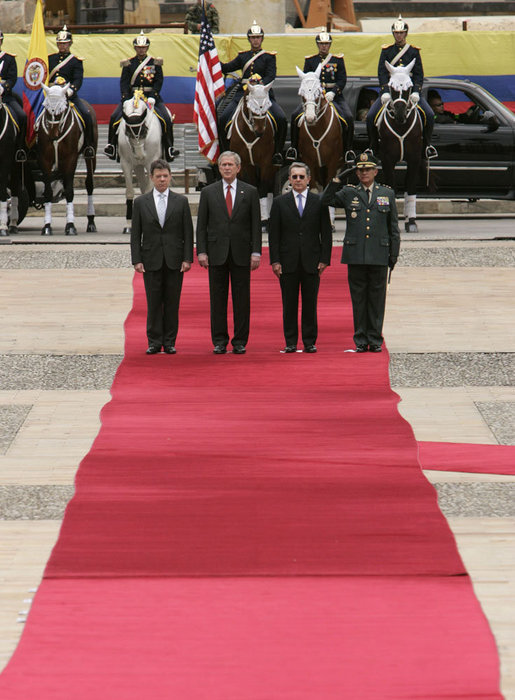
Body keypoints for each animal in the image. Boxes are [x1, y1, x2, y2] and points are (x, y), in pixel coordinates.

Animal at [36, 83, 97, 237]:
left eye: (61, 110)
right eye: (46, 108)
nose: (53, 135)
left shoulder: (70, 158)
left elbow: (69, 191)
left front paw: (70, 226)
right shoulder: (45, 160)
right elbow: (48, 192)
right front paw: (47, 226)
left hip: (90, 155)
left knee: (89, 184)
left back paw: (91, 222)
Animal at [118, 88, 161, 232]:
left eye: (144, 131)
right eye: (127, 132)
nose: (140, 155)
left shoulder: (151, 162)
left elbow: (149, 190)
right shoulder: (126, 163)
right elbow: (130, 192)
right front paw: (128, 225)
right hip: (138, 166)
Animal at [230, 82, 278, 227]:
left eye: (267, 105)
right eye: (252, 106)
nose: (260, 131)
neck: (250, 133)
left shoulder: (266, 162)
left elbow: (262, 187)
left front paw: (264, 219)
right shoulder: (245, 163)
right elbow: (252, 185)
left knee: (270, 187)